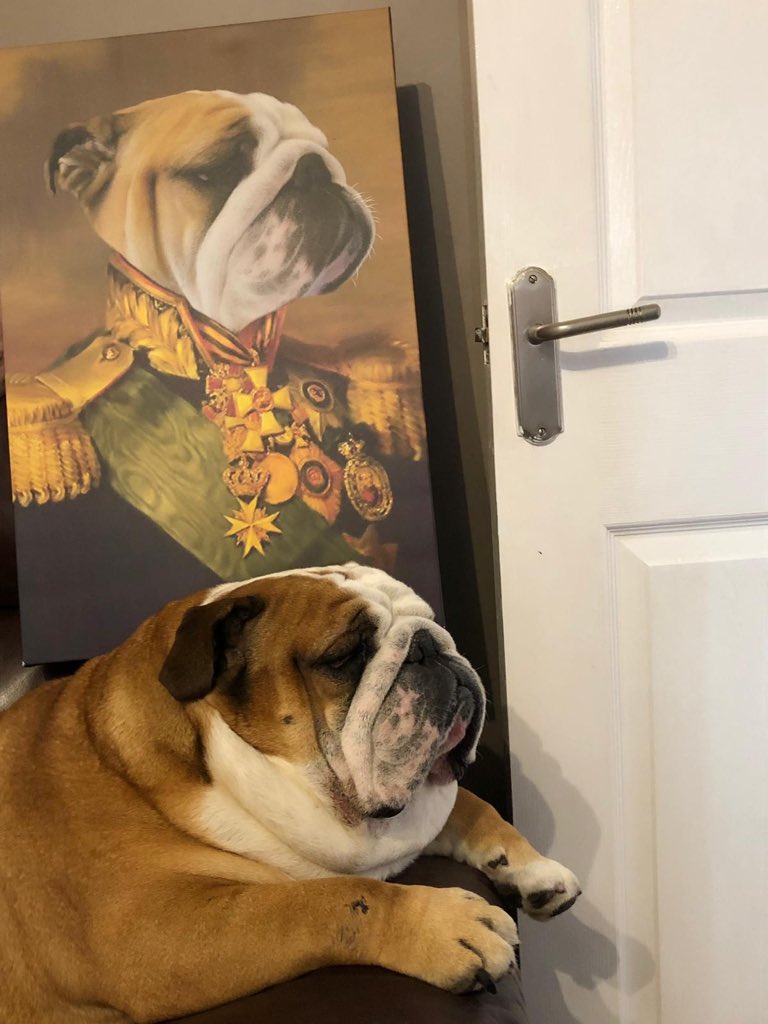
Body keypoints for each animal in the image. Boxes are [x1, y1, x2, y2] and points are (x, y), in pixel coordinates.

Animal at [0, 564, 580, 1022]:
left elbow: (472, 805)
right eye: (345, 656)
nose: (429, 645)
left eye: (431, 619)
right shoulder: (147, 933)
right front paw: (443, 926)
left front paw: (534, 870)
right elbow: (325, 900)